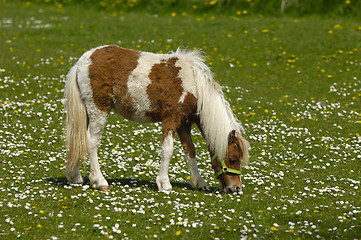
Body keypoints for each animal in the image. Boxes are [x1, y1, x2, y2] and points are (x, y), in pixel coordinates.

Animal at [63, 45, 249, 193]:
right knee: (91, 142)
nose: (236, 188)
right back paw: (99, 181)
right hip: (99, 110)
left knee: (78, 139)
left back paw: (75, 177)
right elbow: (167, 150)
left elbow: (190, 150)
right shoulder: (171, 119)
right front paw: (164, 184)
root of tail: (81, 63)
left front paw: (198, 182)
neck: (193, 86)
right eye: (233, 159)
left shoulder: (184, 124)